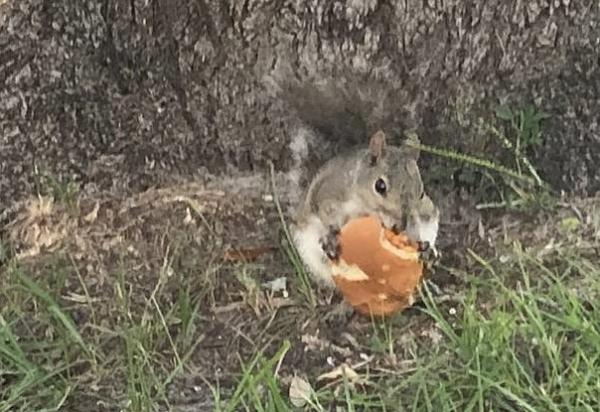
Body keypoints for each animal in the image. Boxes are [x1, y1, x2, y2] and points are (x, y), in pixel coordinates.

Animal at [278, 79, 440, 288]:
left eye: (421, 193)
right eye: (380, 186)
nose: (400, 226)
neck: (367, 209)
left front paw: (421, 245)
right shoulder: (330, 193)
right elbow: (326, 214)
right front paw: (331, 235)